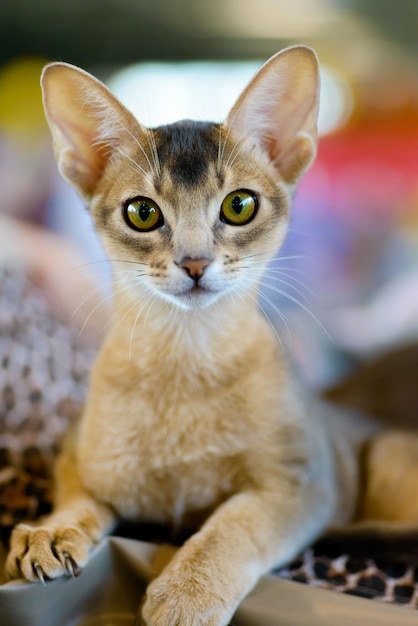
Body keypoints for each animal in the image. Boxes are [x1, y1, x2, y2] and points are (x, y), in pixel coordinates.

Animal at [5, 45, 418, 624]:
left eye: (238, 205)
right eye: (142, 212)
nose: (195, 263)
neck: (184, 366)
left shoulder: (299, 484)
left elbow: (234, 523)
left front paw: (187, 594)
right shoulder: (74, 458)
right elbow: (78, 498)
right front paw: (51, 530)